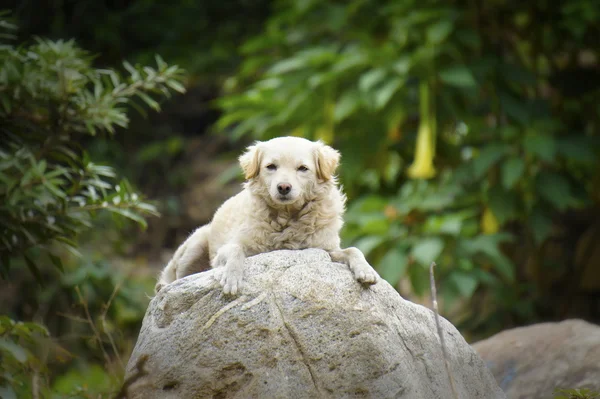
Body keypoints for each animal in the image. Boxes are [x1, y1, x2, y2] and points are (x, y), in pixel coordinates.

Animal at [155, 136, 380, 296]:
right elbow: (236, 250)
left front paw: (366, 270)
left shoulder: (326, 250)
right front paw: (232, 277)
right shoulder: (226, 251)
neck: (286, 219)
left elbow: (353, 250)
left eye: (302, 168)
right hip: (194, 247)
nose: (283, 187)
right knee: (173, 280)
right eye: (271, 166)